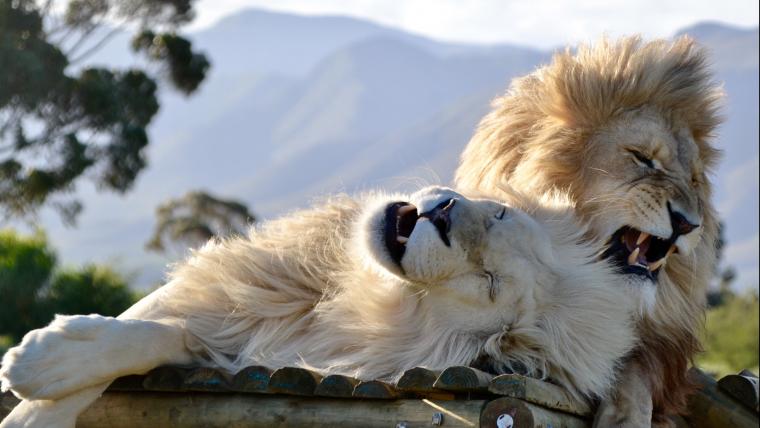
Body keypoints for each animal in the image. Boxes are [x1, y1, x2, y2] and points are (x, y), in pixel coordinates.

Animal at [0, 187, 636, 428]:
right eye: (500, 214)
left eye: (488, 282)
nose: (444, 212)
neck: (351, 300)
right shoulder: (240, 312)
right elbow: (146, 327)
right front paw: (45, 372)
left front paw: (36, 375)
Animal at [454, 36, 720, 424]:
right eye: (641, 157)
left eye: (695, 181)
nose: (688, 223)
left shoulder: (657, 348)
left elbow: (635, 373)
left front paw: (624, 418)